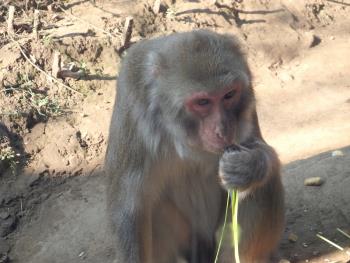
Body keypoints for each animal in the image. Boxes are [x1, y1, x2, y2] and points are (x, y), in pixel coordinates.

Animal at [106, 29, 284, 263]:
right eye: (202, 102)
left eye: (229, 95)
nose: (223, 130)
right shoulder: (132, 100)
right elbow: (130, 208)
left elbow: (258, 147)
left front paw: (249, 166)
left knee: (263, 186)